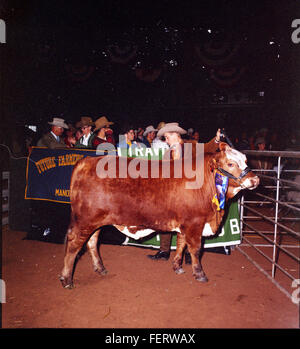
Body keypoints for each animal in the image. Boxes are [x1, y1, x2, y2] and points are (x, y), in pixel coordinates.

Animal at [60, 142, 258, 288]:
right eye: (231, 164)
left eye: (246, 159)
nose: (255, 180)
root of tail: (86, 161)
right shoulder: (194, 223)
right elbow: (195, 249)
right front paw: (200, 274)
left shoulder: (184, 223)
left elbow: (181, 244)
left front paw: (177, 266)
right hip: (85, 220)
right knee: (74, 244)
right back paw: (66, 279)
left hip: (96, 221)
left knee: (92, 242)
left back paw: (100, 268)